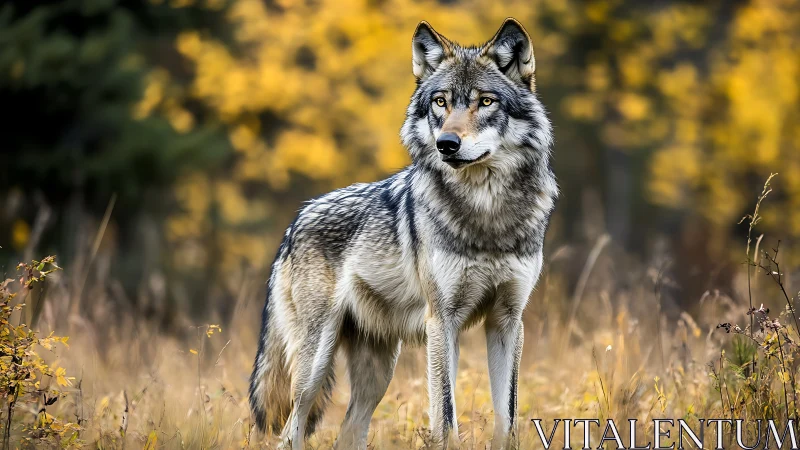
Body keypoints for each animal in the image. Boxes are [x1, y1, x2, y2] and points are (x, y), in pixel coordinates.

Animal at [249, 18, 557, 450]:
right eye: (441, 102)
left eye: (485, 102)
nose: (447, 144)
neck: (487, 213)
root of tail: (295, 221)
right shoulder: (442, 321)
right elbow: (446, 416)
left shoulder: (508, 321)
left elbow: (508, 417)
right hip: (314, 368)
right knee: (291, 431)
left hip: (377, 373)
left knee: (348, 432)